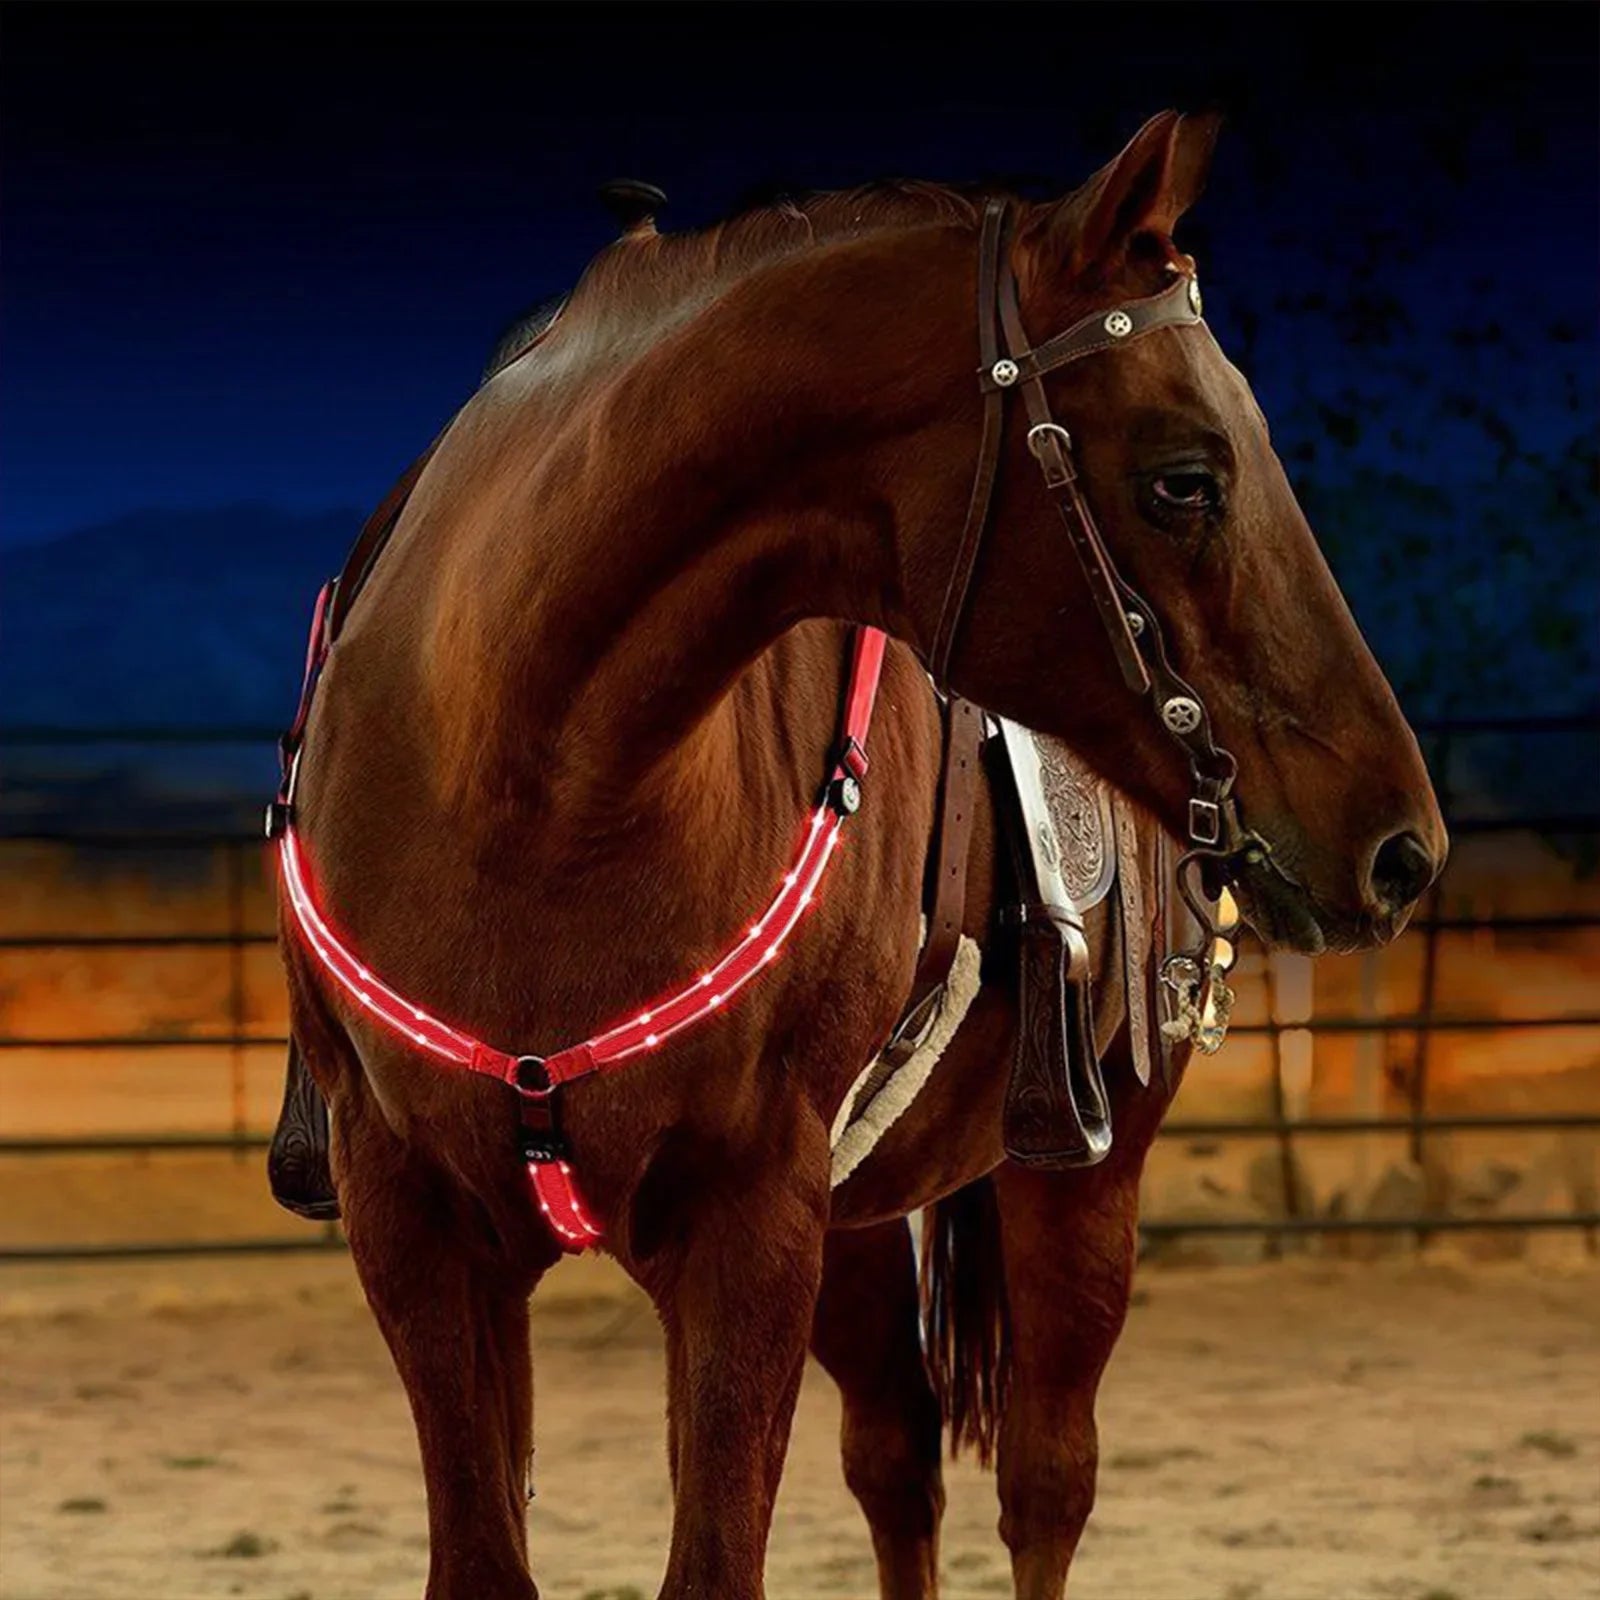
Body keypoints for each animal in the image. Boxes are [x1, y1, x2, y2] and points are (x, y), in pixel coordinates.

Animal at [274, 110, 1445, 1598]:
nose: (1401, 846)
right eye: (1185, 479)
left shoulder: (749, 1221)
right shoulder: (416, 1221)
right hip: (854, 1224)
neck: (525, 784)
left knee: (1045, 1482)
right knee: (897, 1461)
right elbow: (492, 1554)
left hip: (1078, 1175)